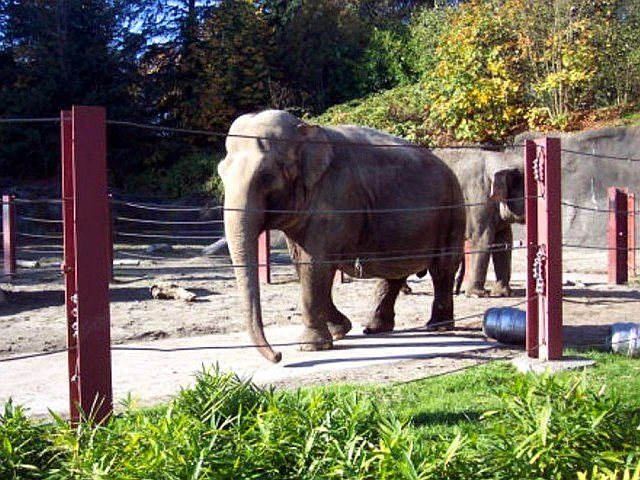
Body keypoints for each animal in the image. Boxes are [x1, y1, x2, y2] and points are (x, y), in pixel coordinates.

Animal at [219, 110, 464, 362]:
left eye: (266, 176)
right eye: (221, 173)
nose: (278, 355)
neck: (305, 129)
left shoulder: (336, 198)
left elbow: (315, 264)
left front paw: (312, 346)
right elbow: (302, 263)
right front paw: (340, 330)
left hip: (452, 211)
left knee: (442, 267)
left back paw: (438, 327)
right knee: (394, 272)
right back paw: (374, 329)